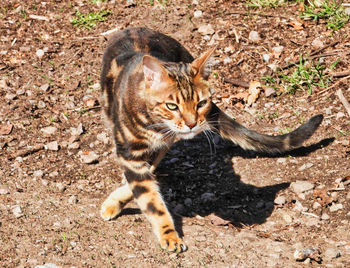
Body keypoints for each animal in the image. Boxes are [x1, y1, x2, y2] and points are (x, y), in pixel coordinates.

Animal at [98, 26, 322, 252]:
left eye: (201, 103)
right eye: (172, 106)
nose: (191, 124)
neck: (157, 127)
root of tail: (135, 28)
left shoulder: (160, 146)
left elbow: (145, 182)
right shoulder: (130, 152)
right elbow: (151, 200)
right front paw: (169, 234)